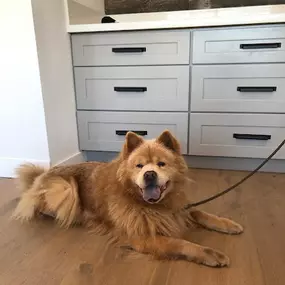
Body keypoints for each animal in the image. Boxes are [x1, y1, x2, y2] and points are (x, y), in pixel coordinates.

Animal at [12, 130, 242, 266]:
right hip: (66, 188)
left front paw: (228, 224)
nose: (149, 175)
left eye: (161, 164)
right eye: (139, 166)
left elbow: (201, 212)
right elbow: (181, 243)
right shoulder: (142, 237)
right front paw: (211, 254)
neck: (157, 206)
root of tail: (40, 176)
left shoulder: (178, 209)